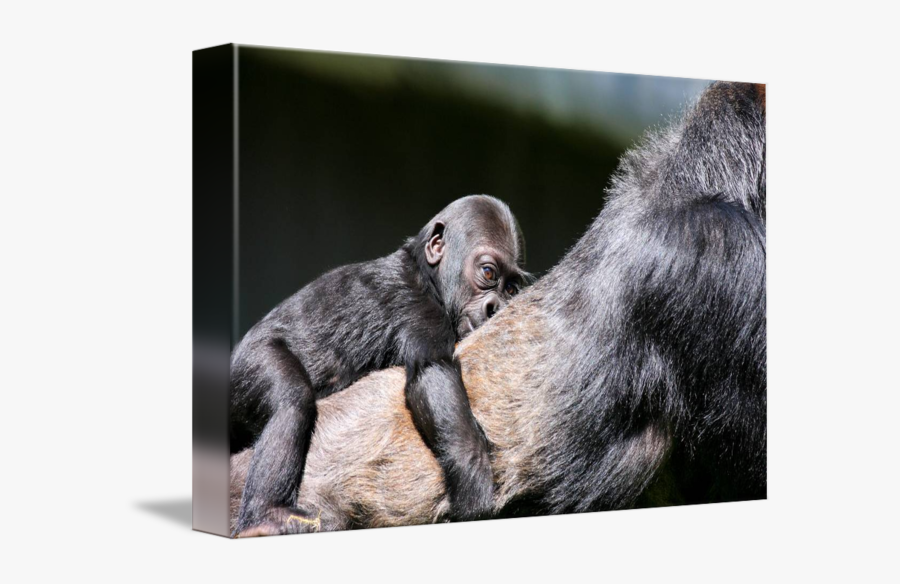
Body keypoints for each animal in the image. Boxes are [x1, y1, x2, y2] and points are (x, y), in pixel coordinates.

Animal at [229, 194, 528, 537]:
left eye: (511, 289)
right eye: (489, 273)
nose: (495, 307)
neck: (428, 275)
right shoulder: (419, 307)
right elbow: (433, 373)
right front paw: (474, 479)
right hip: (248, 363)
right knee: (291, 400)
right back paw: (267, 515)